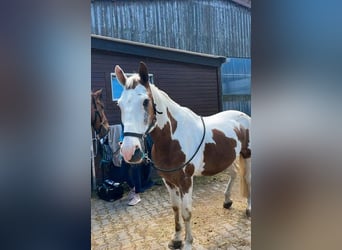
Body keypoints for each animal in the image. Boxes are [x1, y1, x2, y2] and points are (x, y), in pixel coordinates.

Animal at [115, 61, 251, 249]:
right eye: (119, 105)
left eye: (145, 101)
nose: (129, 151)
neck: (172, 140)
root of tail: (244, 116)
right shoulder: (169, 182)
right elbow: (175, 208)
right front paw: (176, 239)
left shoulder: (186, 181)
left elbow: (186, 212)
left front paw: (187, 242)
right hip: (227, 159)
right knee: (234, 173)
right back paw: (227, 201)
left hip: (248, 154)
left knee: (248, 180)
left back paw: (249, 209)